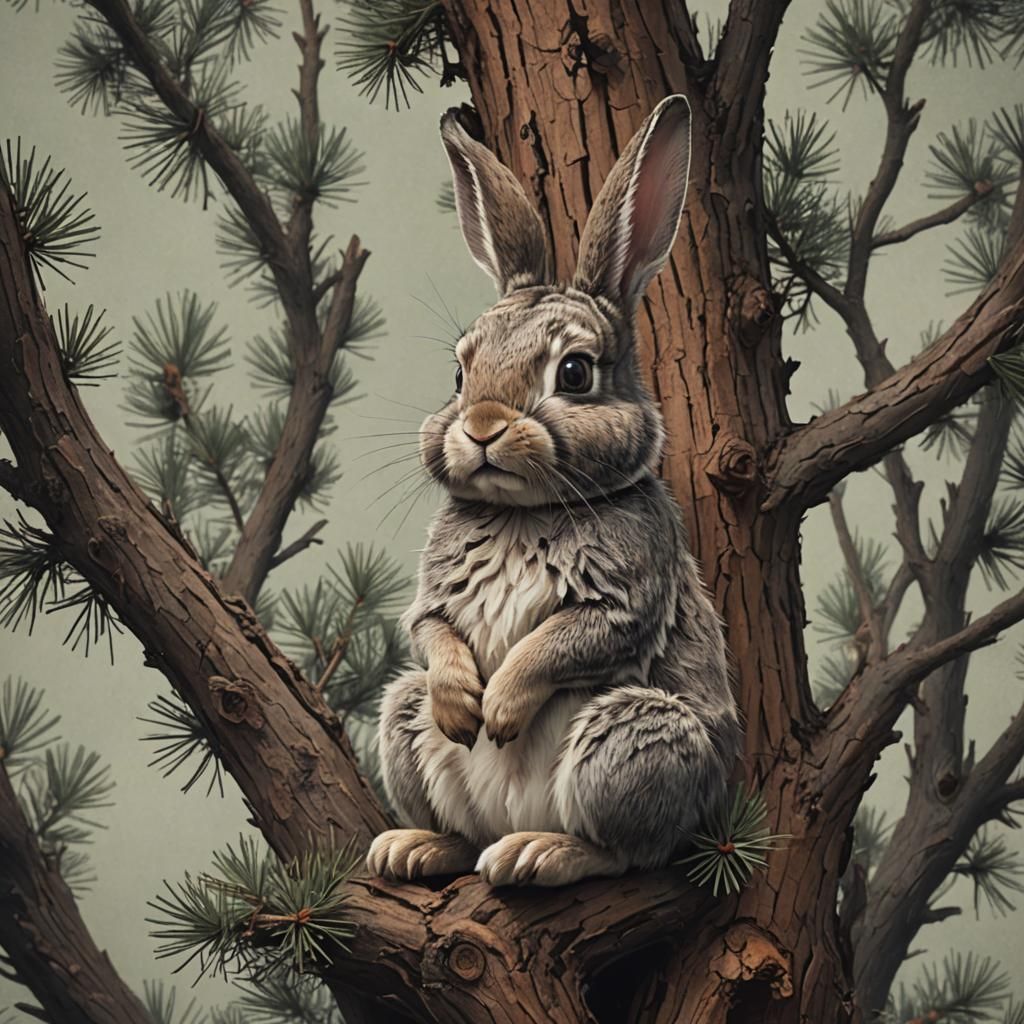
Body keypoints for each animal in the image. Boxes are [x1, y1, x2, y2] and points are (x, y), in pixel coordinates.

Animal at [367, 95, 741, 888]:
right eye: (459, 372)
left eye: (574, 373)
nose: (480, 426)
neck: (521, 514)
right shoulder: (432, 604)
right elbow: (429, 629)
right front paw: (466, 710)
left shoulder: (622, 599)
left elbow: (560, 644)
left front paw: (502, 713)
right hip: (403, 718)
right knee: (457, 820)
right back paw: (413, 848)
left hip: (634, 738)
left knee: (629, 853)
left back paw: (542, 852)